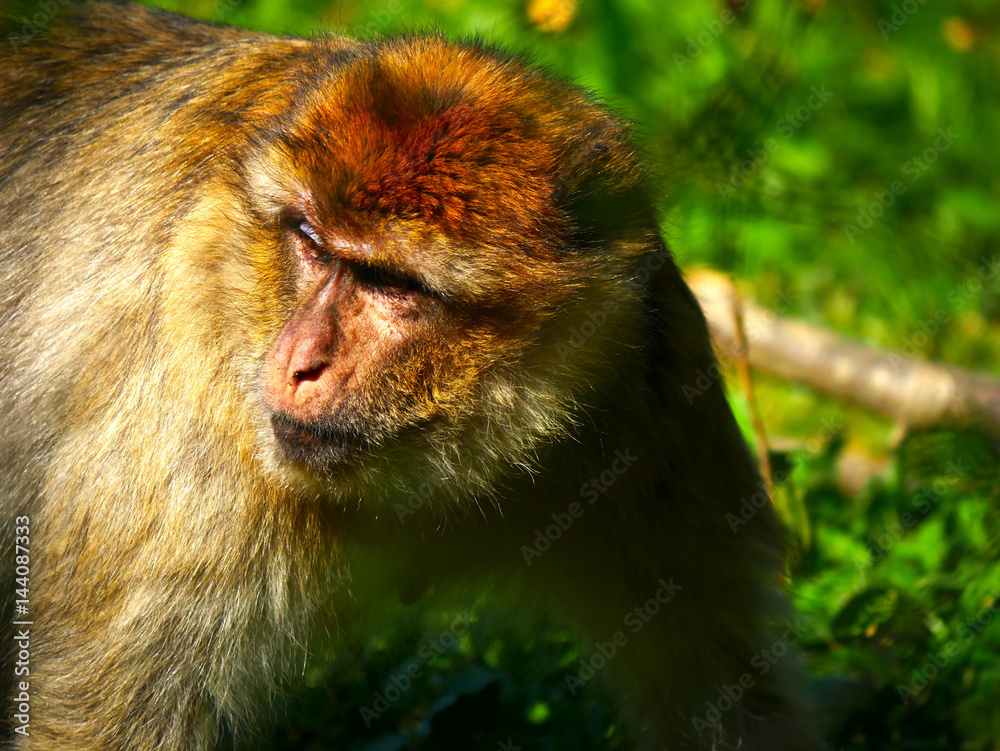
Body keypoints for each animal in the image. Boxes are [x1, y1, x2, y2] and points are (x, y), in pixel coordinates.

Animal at [0, 1, 822, 749]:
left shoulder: (652, 385)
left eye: (391, 283)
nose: (298, 362)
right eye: (312, 245)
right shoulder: (193, 453)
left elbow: (725, 692)